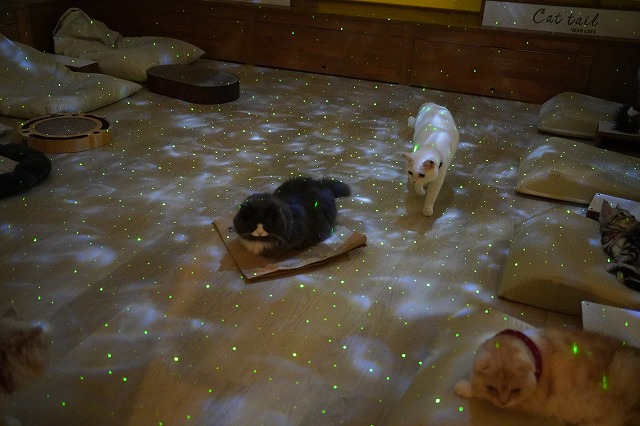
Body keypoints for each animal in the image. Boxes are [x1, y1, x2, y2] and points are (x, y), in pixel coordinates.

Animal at [454, 328, 640, 426]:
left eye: (516, 390)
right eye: (492, 388)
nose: (503, 402)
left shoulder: (528, 402)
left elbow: (479, 393)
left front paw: (464, 387)